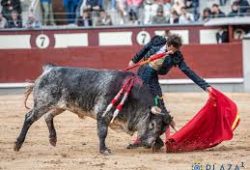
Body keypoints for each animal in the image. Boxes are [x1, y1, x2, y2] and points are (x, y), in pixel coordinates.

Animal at [13, 64, 170, 154]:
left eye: (162, 130)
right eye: (152, 124)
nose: (148, 144)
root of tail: (49, 69)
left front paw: (157, 144)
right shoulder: (103, 114)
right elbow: (102, 133)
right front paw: (104, 150)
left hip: (61, 105)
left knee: (48, 116)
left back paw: (53, 139)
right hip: (43, 103)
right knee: (29, 118)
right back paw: (18, 144)